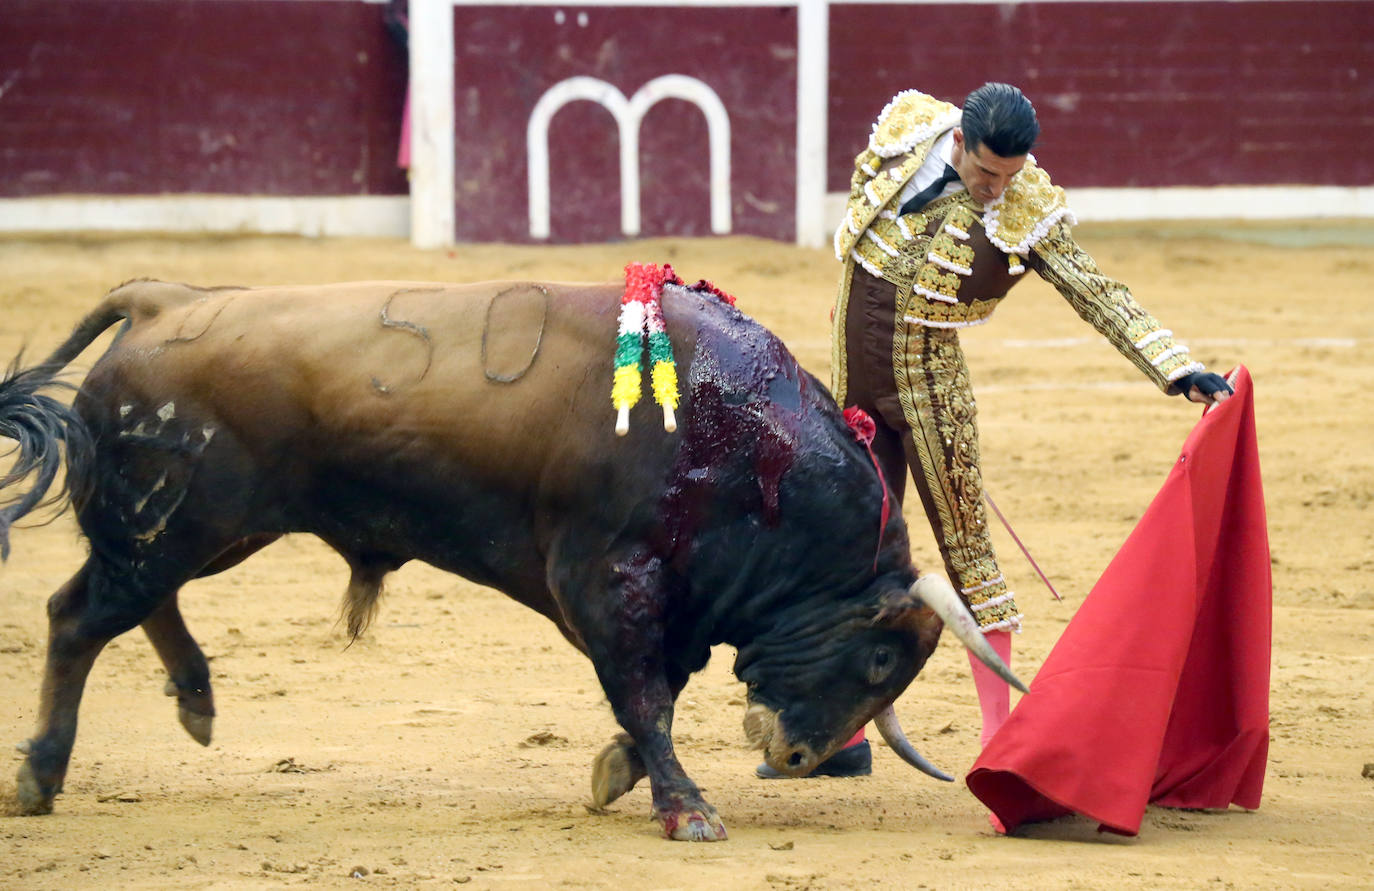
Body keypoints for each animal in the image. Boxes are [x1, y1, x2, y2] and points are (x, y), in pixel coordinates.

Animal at [0, 275, 1022, 841]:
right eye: (881, 657)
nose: (801, 756)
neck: (735, 434)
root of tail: (161, 301)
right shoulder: (605, 580)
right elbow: (646, 694)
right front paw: (686, 808)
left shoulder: (673, 600)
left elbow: (662, 686)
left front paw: (620, 773)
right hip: (181, 522)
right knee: (77, 615)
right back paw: (42, 775)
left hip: (208, 530)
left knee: (136, 600)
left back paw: (196, 700)